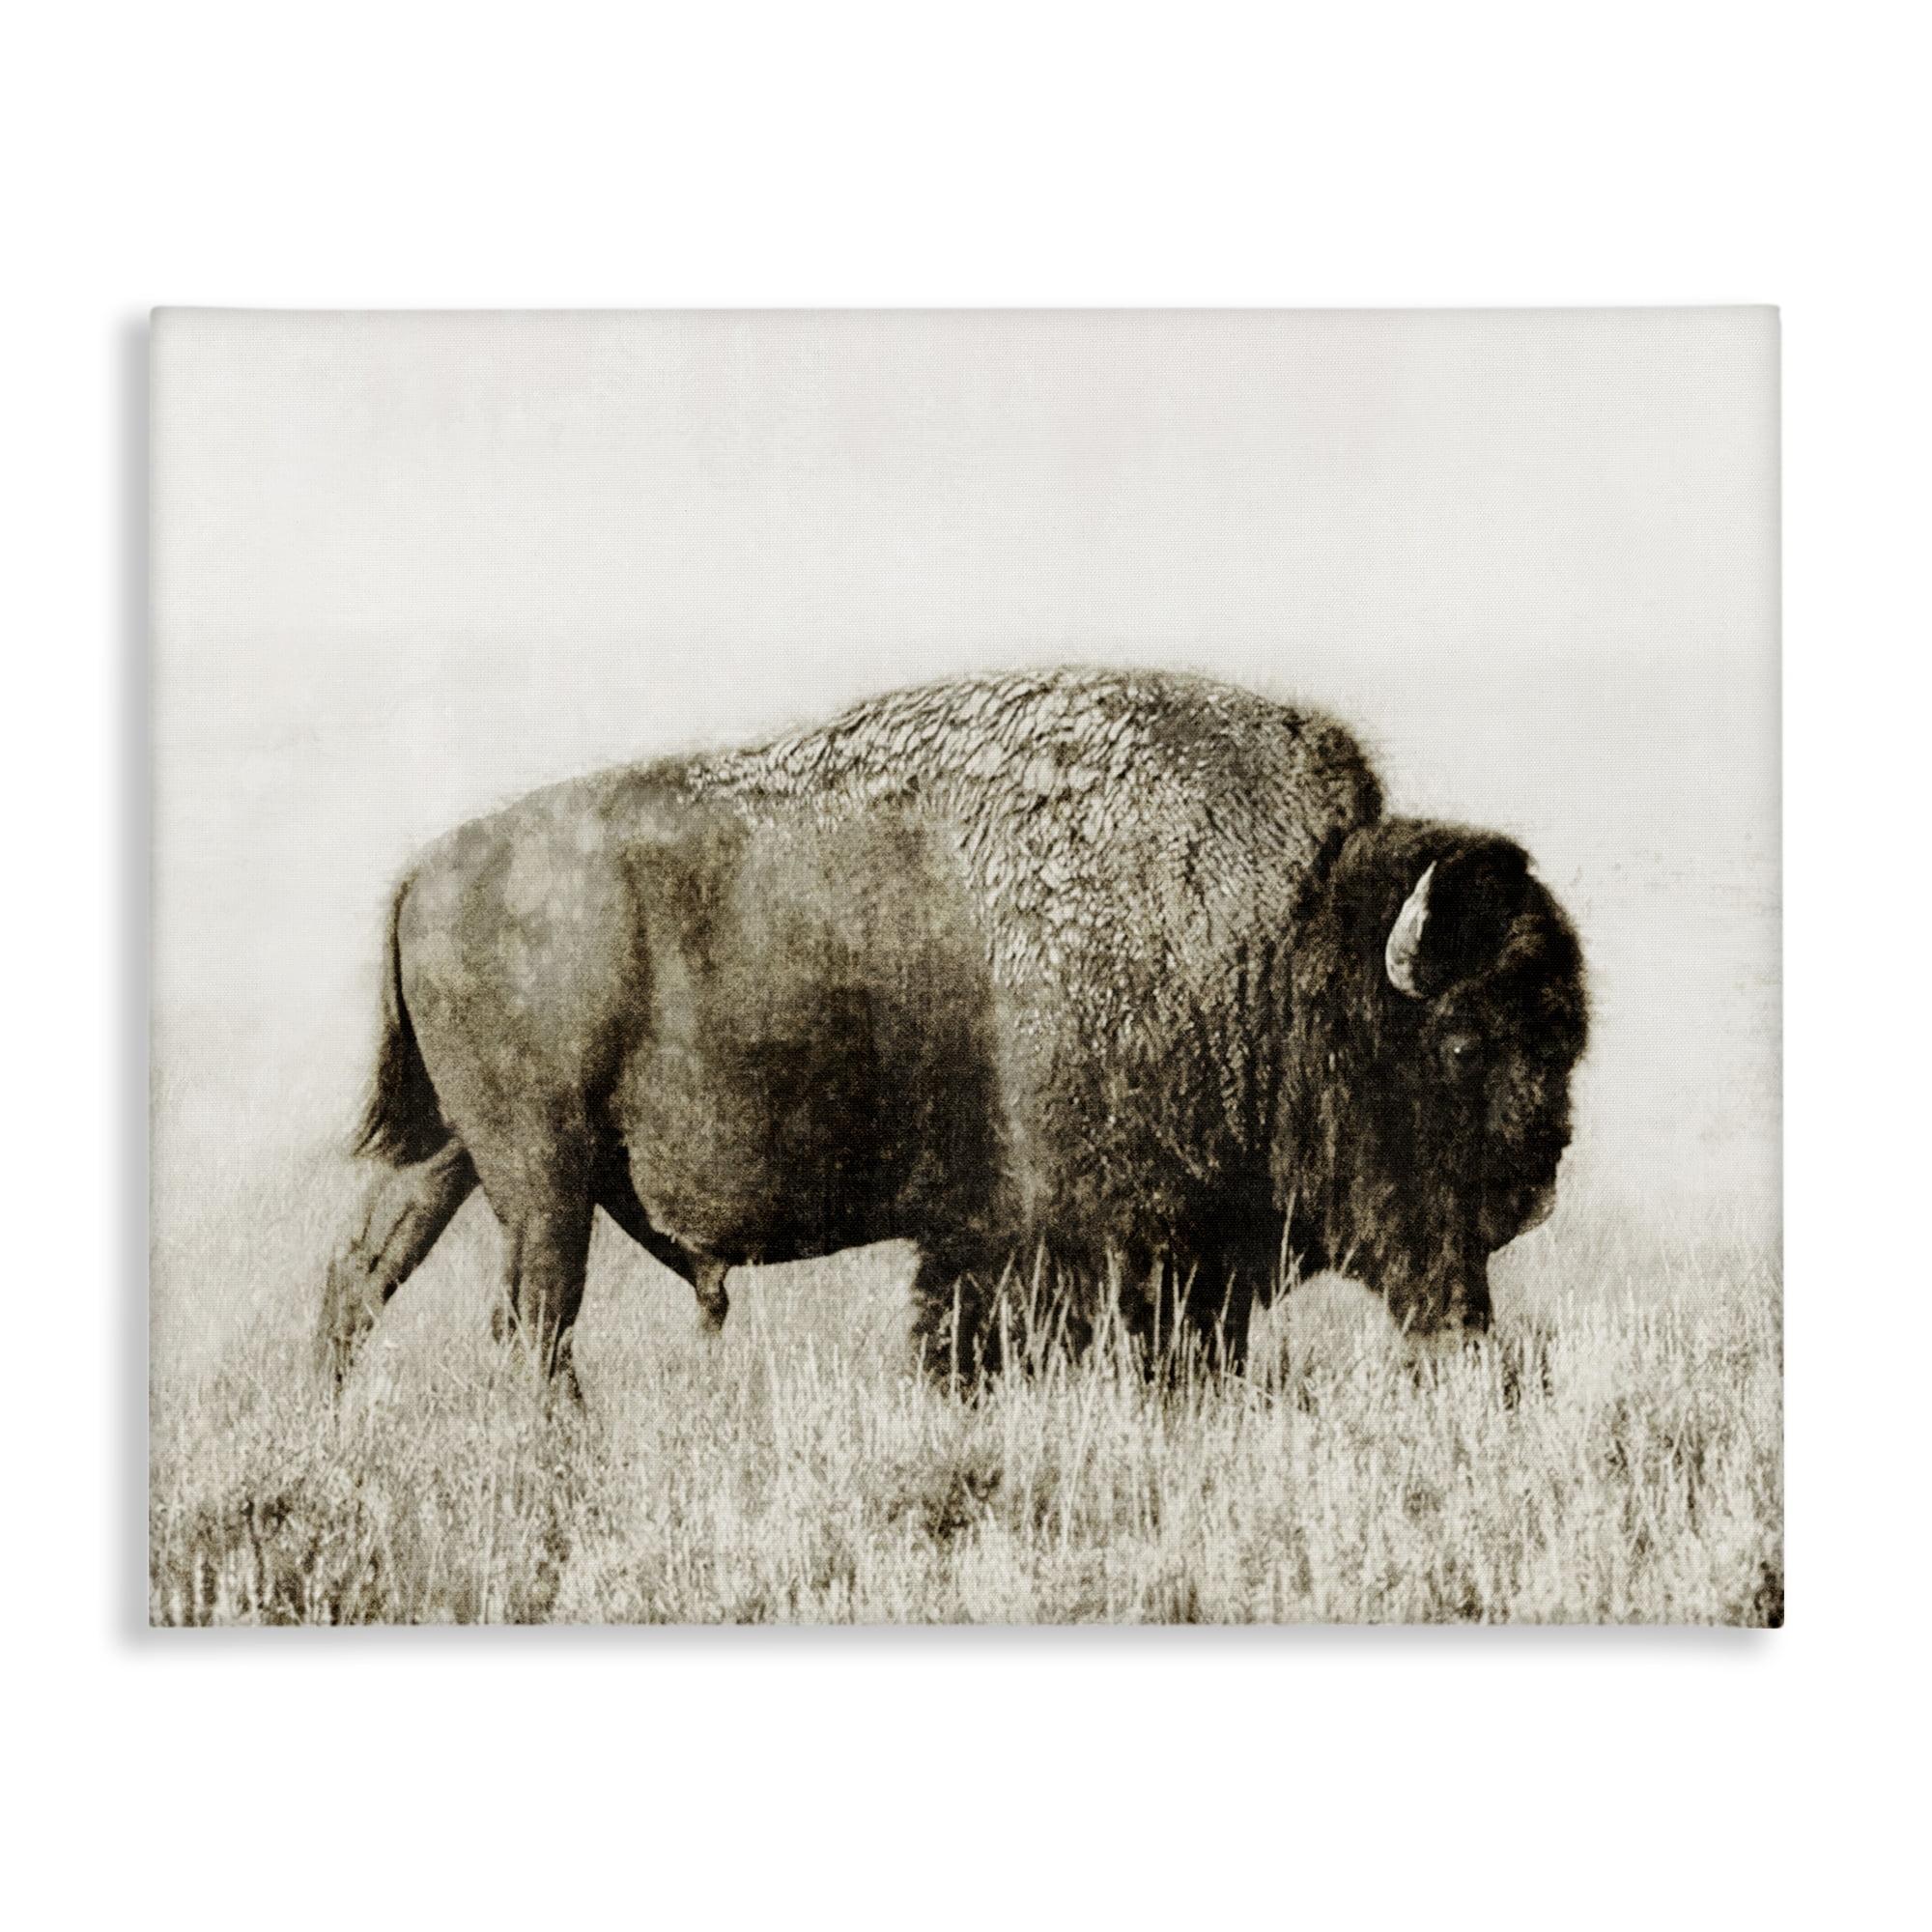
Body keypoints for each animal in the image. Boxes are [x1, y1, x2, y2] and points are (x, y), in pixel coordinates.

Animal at [319, 667, 1587, 1385]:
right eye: (1462, 1043)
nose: (1528, 1191)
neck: (1277, 938)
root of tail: (425, 871)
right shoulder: (1081, 1247)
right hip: (542, 1169)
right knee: (532, 1319)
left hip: (456, 1156)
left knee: (360, 1281)